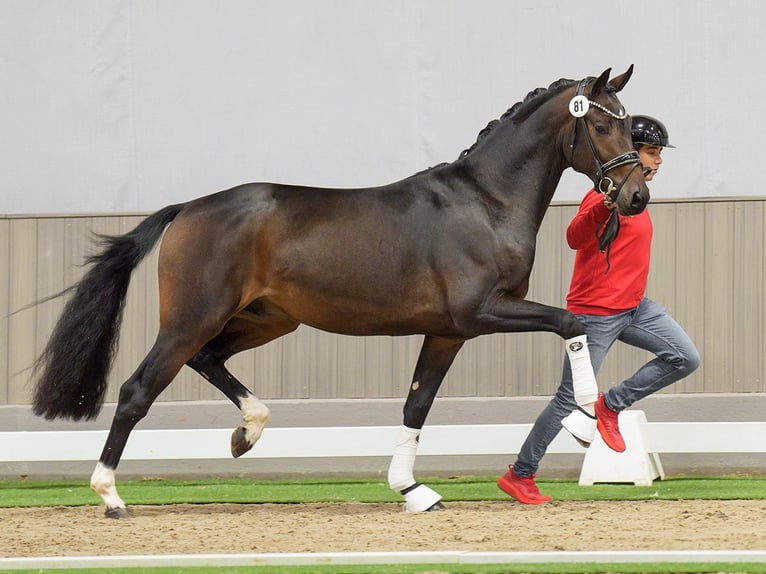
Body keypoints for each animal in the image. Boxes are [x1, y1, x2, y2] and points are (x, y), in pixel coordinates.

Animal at [34, 66, 648, 516]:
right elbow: (573, 323)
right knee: (137, 390)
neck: (486, 202)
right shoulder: (482, 312)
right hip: (190, 319)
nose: (636, 197)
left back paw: (247, 433)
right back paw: (111, 495)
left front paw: (412, 491)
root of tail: (188, 208)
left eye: (628, 126)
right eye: (602, 128)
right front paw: (588, 425)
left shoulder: (447, 332)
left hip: (267, 318)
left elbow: (417, 404)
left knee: (208, 360)